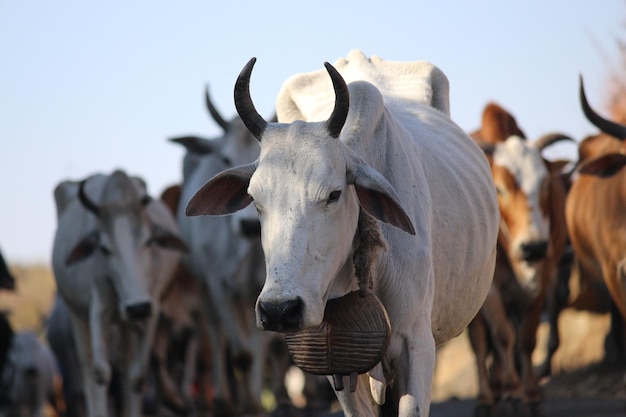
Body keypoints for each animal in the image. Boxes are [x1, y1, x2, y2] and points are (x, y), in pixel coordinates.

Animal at [50, 168, 186, 416]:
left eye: (149, 241)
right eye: (104, 249)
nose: (137, 307)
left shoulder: (151, 309)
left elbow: (138, 377)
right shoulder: (97, 310)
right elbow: (100, 373)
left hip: (126, 325)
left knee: (125, 367)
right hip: (77, 314)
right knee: (87, 369)